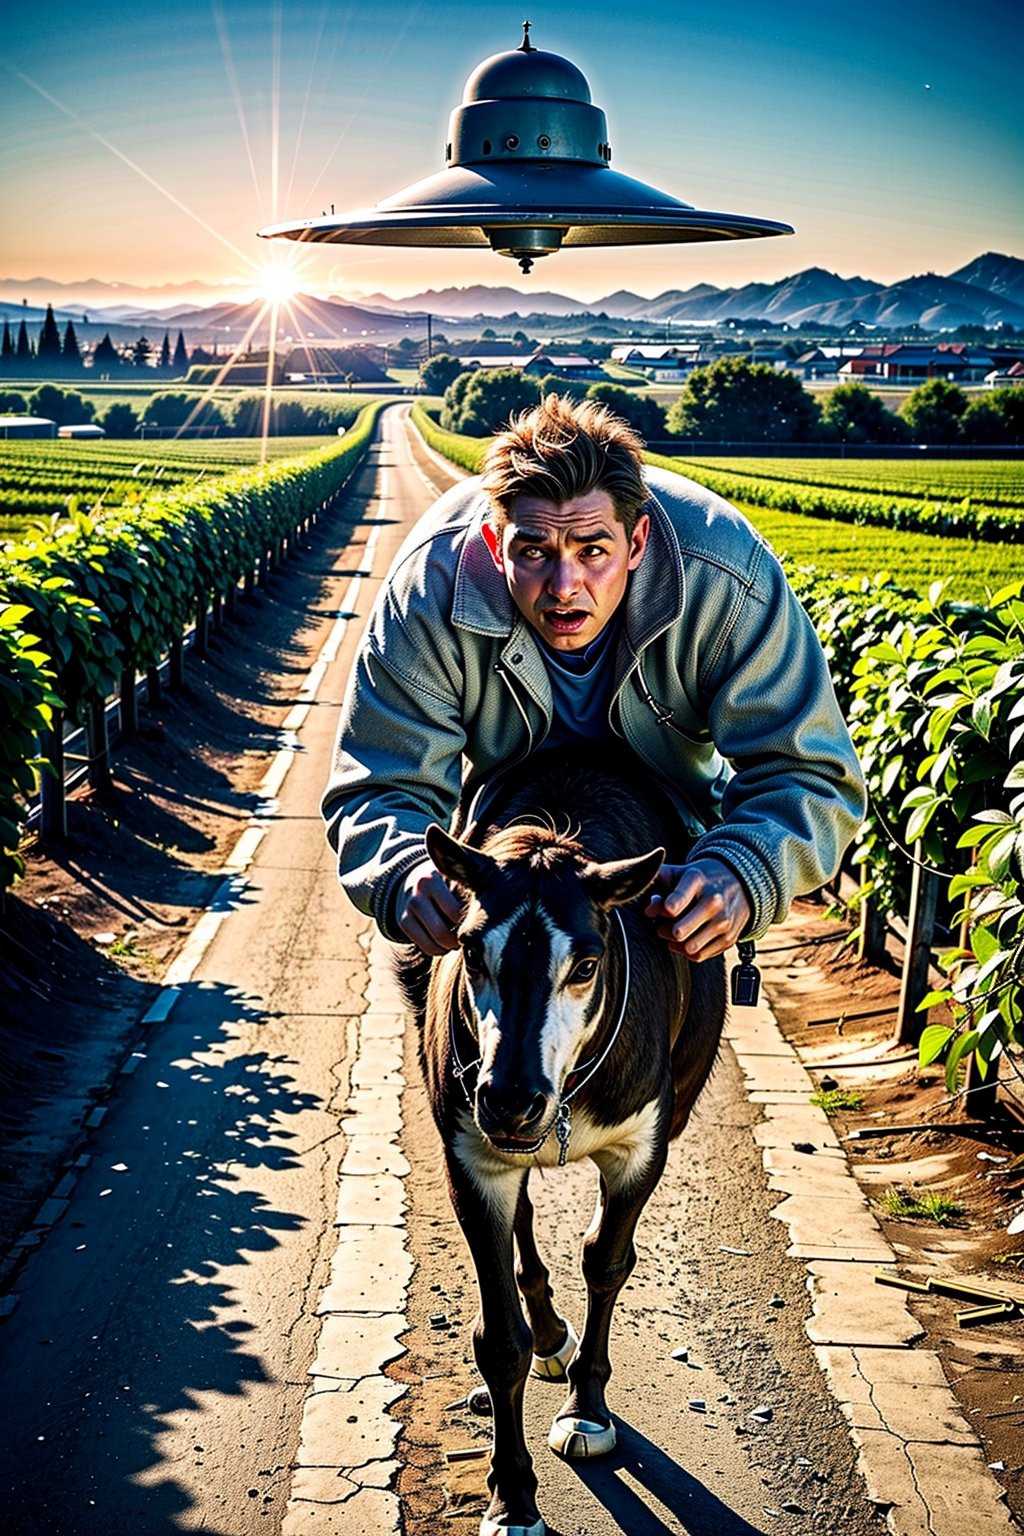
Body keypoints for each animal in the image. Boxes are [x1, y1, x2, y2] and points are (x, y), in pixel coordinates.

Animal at [399, 746, 727, 1536]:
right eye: (468, 951)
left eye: (584, 966)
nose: (511, 1099)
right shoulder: (471, 1153)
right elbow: (498, 1341)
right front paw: (512, 1494)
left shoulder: (643, 1143)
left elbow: (606, 1261)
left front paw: (587, 1409)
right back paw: (548, 1336)